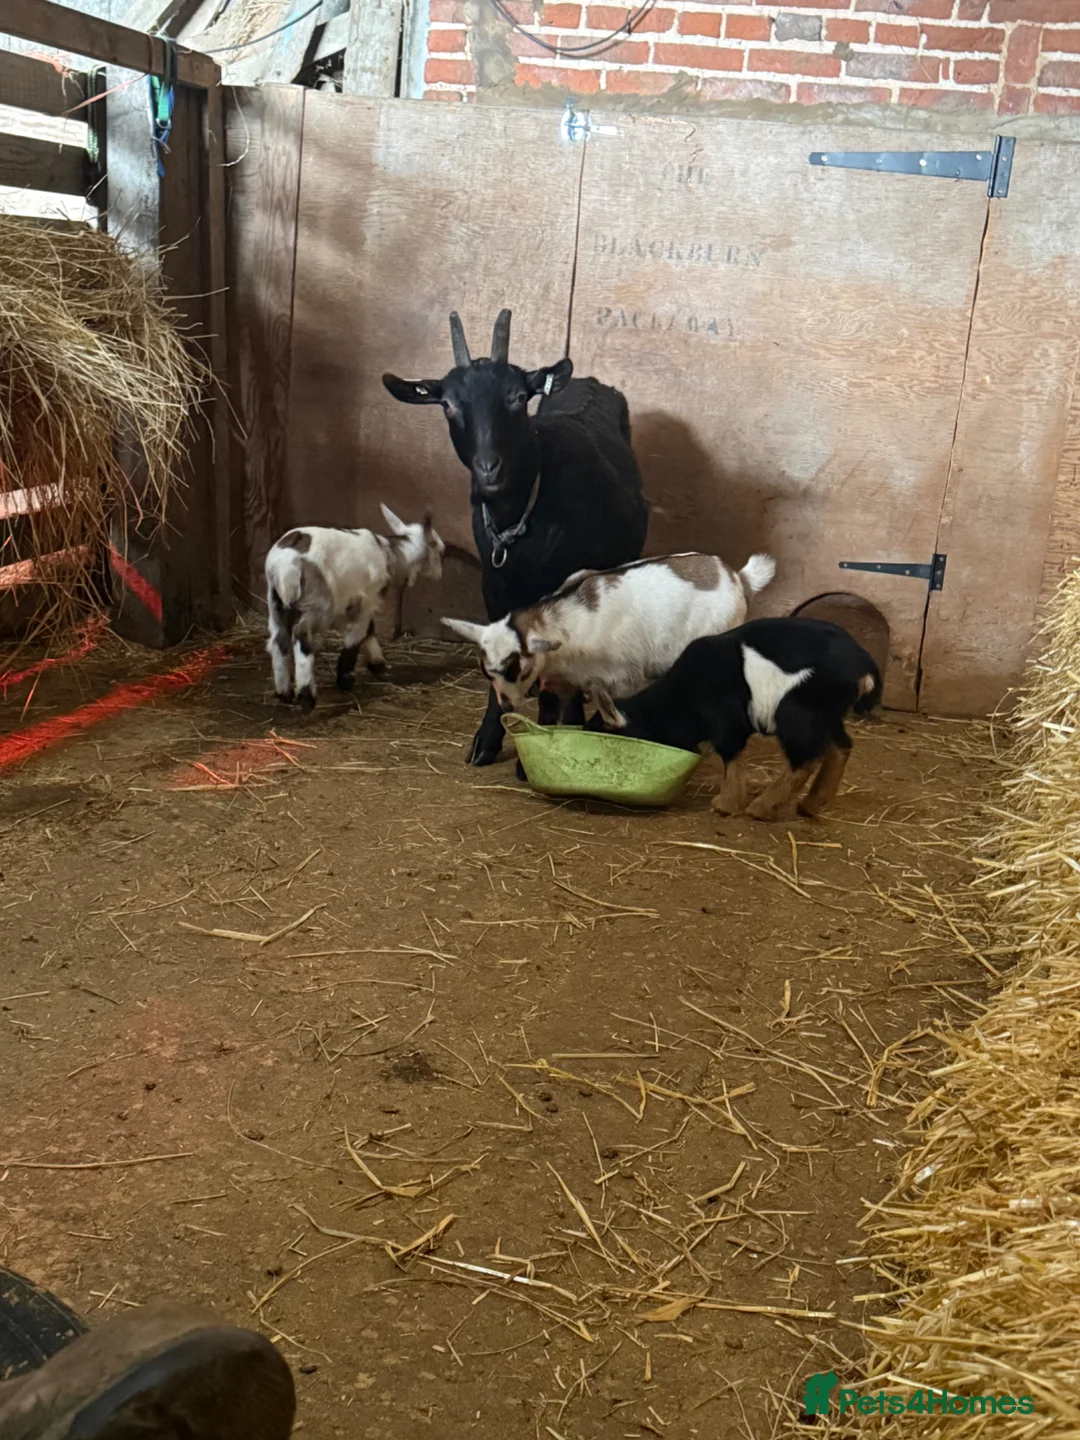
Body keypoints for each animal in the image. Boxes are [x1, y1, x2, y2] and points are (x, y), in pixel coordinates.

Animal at [265, 506, 445, 712]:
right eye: (440, 550)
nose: (440, 575)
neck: (391, 555)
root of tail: (285, 563)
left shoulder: (358, 603)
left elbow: (369, 631)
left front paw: (377, 664)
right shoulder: (366, 601)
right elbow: (357, 636)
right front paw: (346, 679)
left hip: (276, 603)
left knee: (278, 640)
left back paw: (283, 692)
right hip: (318, 604)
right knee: (302, 636)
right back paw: (306, 696)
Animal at [383, 308, 648, 766]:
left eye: (518, 397)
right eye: (448, 404)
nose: (490, 469)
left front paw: (564, 731)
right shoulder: (495, 583)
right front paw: (488, 740)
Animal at [442, 551, 776, 716]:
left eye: (519, 670)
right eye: (486, 672)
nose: (506, 706)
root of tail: (738, 578)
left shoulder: (623, 679)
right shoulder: (565, 680)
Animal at [586, 617, 881, 821]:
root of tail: (864, 667)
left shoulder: (726, 720)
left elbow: (731, 756)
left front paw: (725, 805)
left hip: (797, 710)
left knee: (806, 759)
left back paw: (761, 808)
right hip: (827, 714)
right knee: (840, 746)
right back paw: (811, 805)